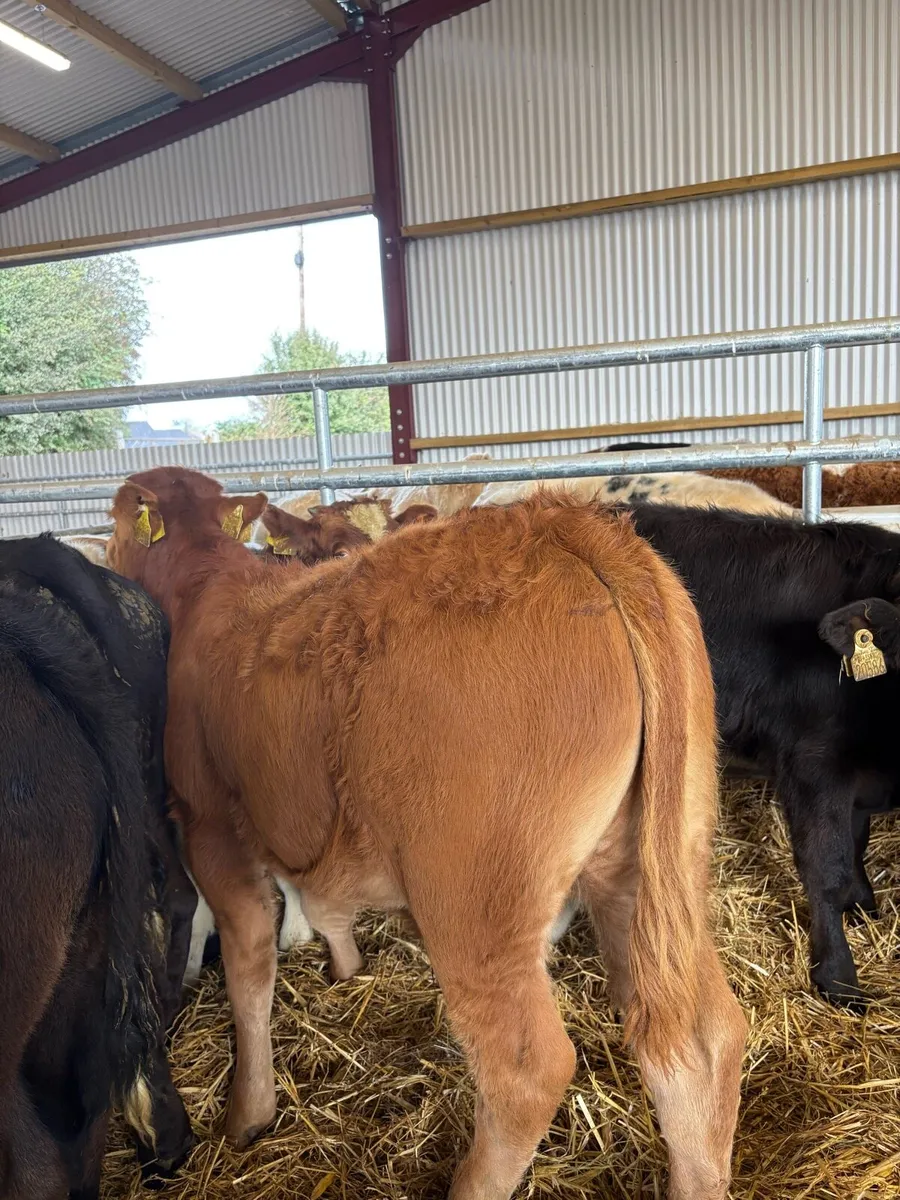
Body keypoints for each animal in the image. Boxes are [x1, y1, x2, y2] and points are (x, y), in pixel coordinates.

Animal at [106, 466, 745, 1200]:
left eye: (117, 523)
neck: (208, 582)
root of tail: (557, 526)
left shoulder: (210, 824)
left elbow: (249, 964)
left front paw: (248, 1111)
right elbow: (323, 905)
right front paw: (346, 967)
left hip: (475, 903)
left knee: (526, 1073)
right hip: (650, 868)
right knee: (700, 1040)